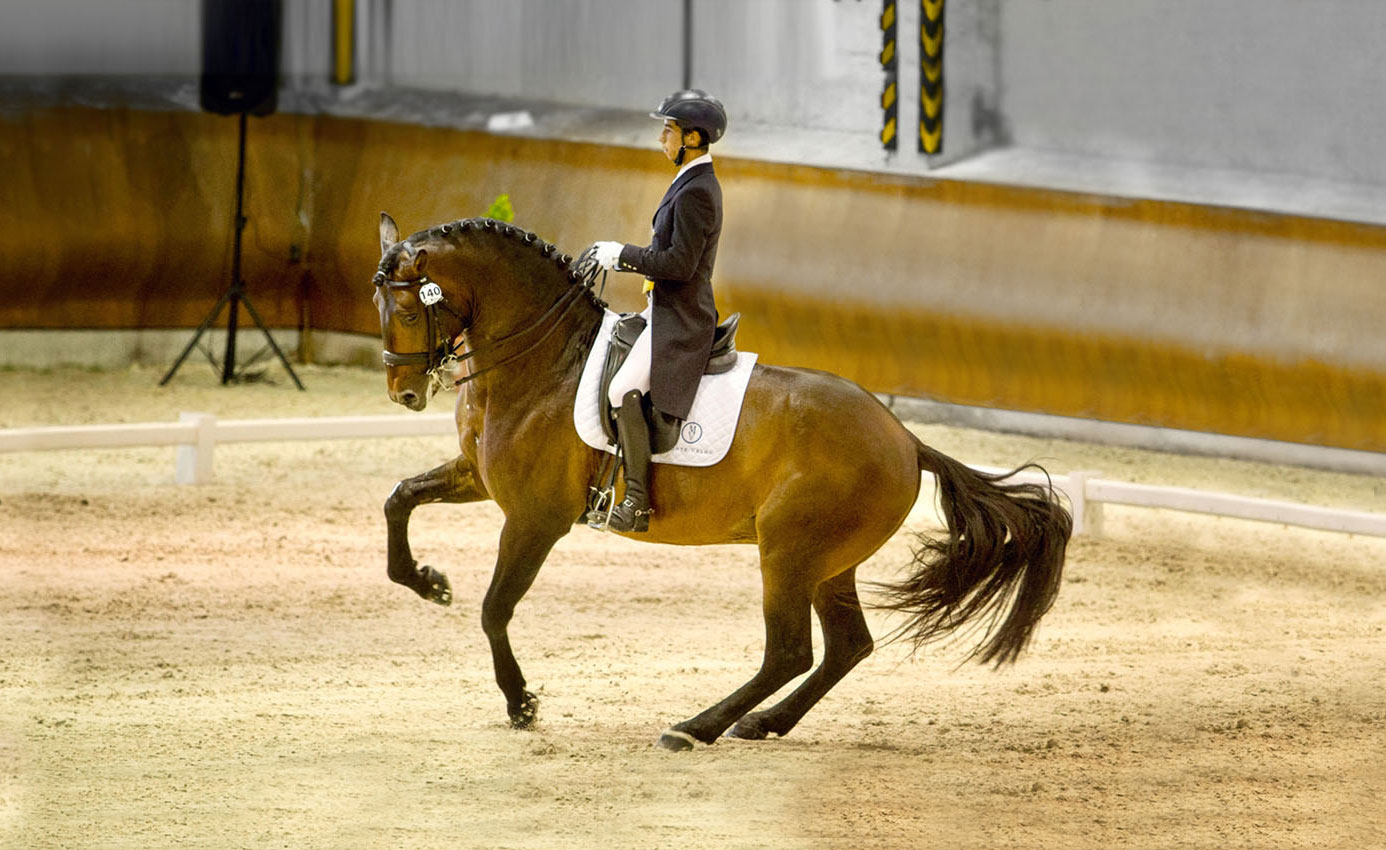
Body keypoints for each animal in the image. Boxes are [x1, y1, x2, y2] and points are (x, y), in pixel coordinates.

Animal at [371, 212, 1069, 748]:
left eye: (405, 308)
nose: (405, 394)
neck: (544, 361)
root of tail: (905, 440)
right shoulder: (479, 479)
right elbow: (399, 499)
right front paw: (427, 581)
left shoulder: (535, 517)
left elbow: (495, 609)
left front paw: (521, 703)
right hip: (827, 561)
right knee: (846, 647)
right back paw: (761, 724)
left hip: (788, 552)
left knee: (789, 652)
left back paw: (695, 726)